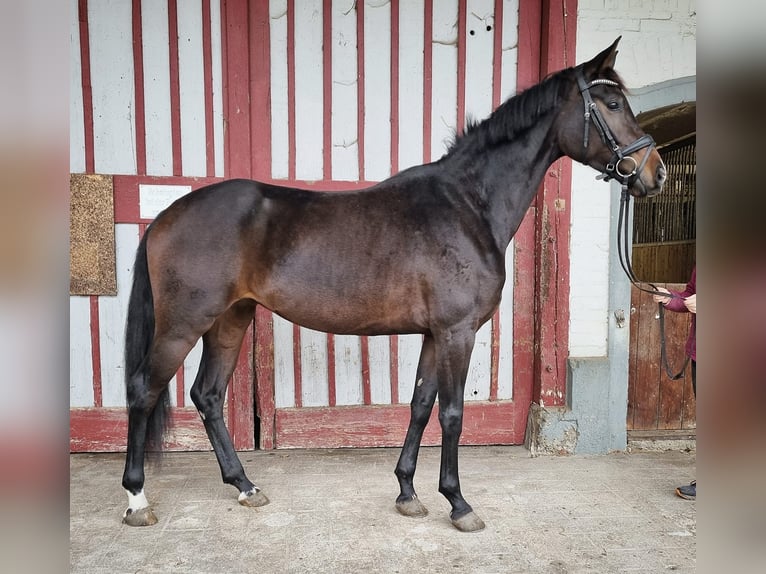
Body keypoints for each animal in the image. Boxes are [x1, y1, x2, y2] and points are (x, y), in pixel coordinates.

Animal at [120, 37, 664, 536]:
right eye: (612, 104)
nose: (654, 173)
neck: (468, 205)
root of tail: (166, 215)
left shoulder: (433, 335)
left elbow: (421, 406)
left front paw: (407, 493)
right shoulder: (457, 332)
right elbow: (452, 414)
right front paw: (458, 503)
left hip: (230, 320)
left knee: (208, 395)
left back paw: (245, 486)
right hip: (184, 324)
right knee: (144, 389)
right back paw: (137, 499)